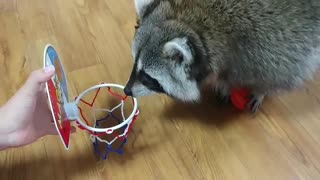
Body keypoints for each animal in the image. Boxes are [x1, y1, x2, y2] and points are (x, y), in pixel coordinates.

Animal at [124, 0, 320, 112]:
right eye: (135, 65)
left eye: (147, 77)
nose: (126, 91)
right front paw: (225, 83)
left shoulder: (271, 41)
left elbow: (282, 71)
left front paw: (261, 90)